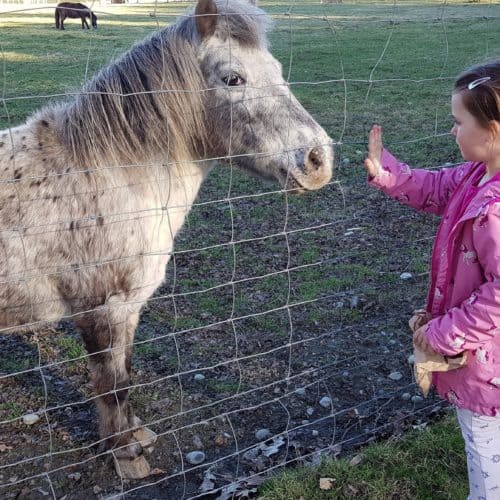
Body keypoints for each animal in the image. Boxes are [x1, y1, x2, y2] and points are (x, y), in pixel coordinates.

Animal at [1, 0, 334, 468]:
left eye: (277, 69)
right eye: (233, 78)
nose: (319, 159)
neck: (105, 176)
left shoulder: (128, 309)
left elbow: (124, 373)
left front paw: (134, 435)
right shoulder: (102, 309)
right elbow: (111, 384)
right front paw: (125, 454)